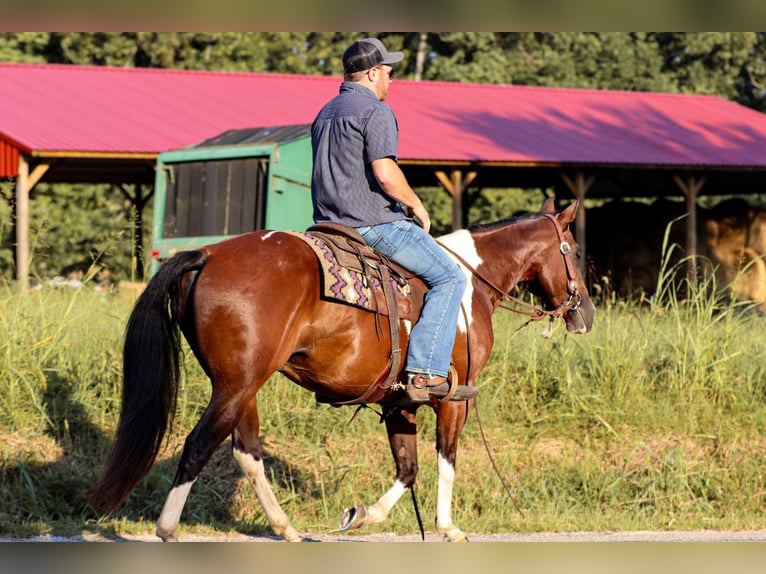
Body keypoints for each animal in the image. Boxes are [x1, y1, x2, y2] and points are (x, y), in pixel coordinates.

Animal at [88, 200, 592, 544]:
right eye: (575, 250)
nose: (585, 313)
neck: (471, 284)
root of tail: (208, 255)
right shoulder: (453, 399)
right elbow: (446, 460)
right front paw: (448, 527)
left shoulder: (400, 401)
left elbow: (407, 469)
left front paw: (363, 515)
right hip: (236, 386)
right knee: (198, 446)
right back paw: (169, 530)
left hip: (240, 385)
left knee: (247, 453)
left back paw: (287, 528)